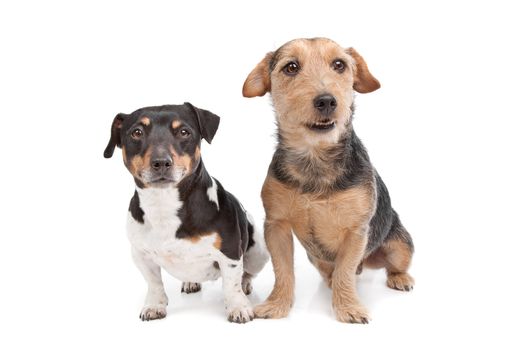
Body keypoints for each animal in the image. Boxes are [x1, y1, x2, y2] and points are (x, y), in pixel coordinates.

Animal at [103, 103, 266, 322]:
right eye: (136, 132)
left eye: (183, 132)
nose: (161, 162)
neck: (164, 204)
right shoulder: (141, 255)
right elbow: (154, 283)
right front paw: (154, 305)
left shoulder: (230, 253)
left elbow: (232, 284)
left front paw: (238, 307)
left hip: (258, 252)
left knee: (247, 273)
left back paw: (245, 283)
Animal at [242, 37, 414, 322]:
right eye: (291, 67)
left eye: (339, 65)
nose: (326, 101)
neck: (315, 162)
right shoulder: (276, 226)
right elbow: (283, 270)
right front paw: (277, 304)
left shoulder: (356, 231)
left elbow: (346, 270)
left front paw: (348, 307)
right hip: (316, 258)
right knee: (330, 271)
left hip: (400, 245)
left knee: (391, 265)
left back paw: (400, 278)